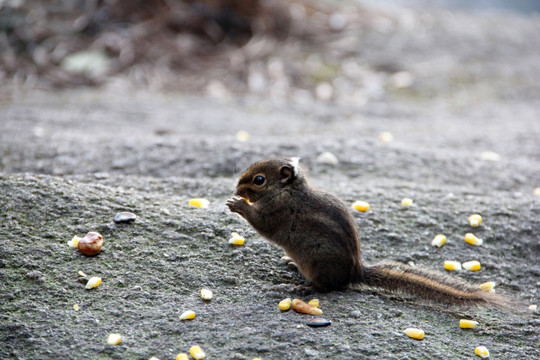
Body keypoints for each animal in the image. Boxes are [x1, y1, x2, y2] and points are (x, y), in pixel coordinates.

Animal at [226, 156, 508, 306]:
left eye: (259, 180)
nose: (237, 189)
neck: (288, 191)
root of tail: (355, 272)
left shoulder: (277, 213)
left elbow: (262, 224)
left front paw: (238, 205)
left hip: (317, 263)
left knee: (328, 288)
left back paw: (303, 288)